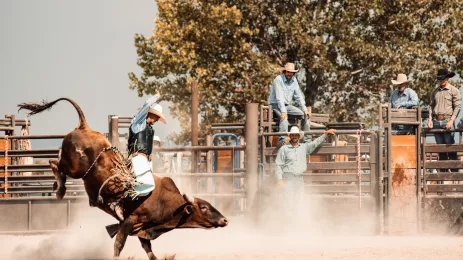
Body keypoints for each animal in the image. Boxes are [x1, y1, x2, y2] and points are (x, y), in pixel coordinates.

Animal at [18, 98, 228, 260]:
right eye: (204, 207)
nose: (225, 220)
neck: (164, 201)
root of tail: (85, 126)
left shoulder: (142, 229)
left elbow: (149, 250)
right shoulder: (129, 221)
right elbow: (119, 244)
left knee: (55, 162)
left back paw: (57, 187)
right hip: (75, 168)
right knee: (54, 163)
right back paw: (60, 190)